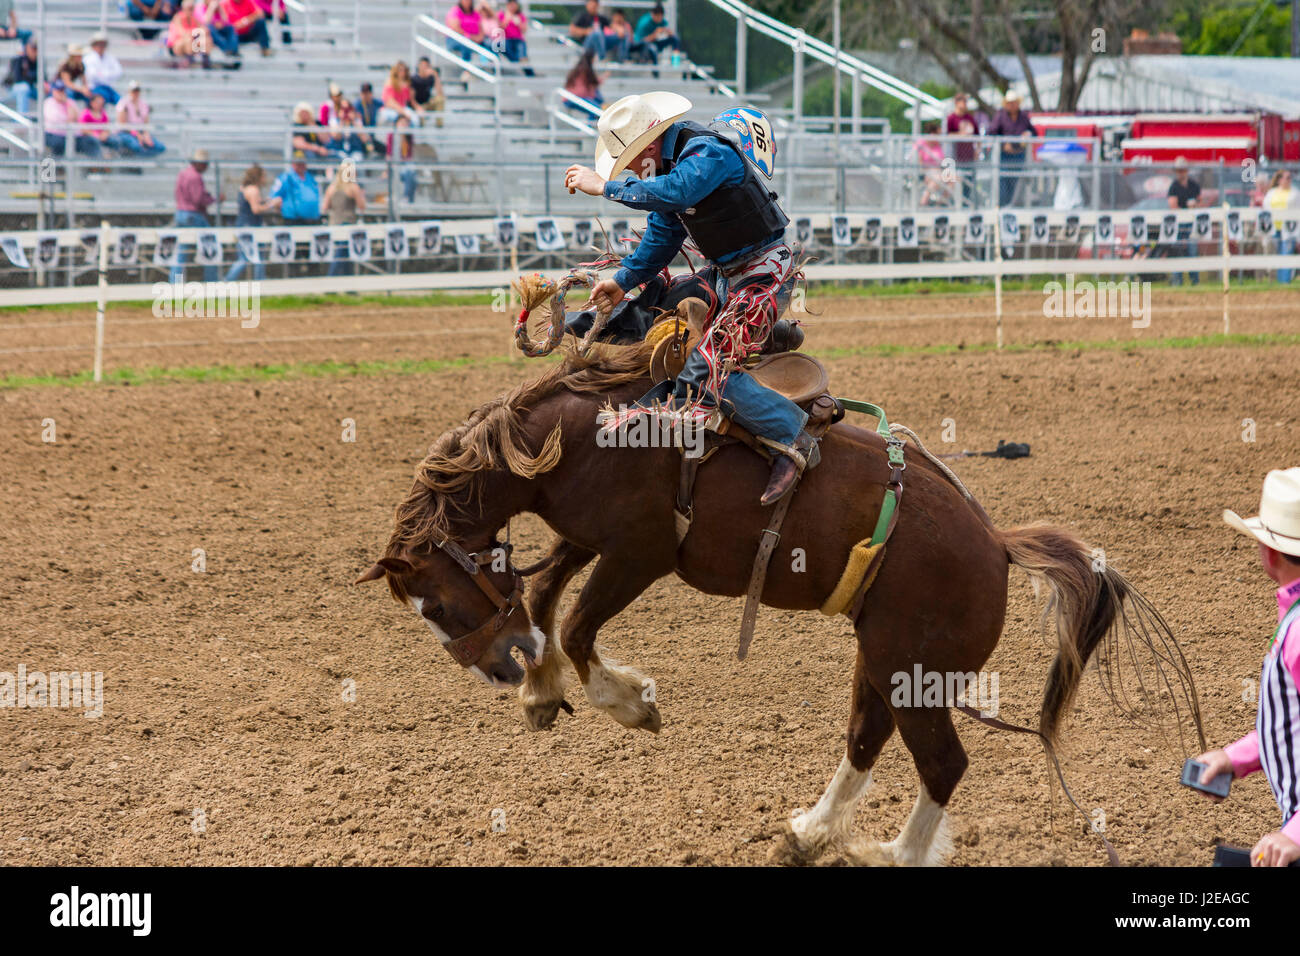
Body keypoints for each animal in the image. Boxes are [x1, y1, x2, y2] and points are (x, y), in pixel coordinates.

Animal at [356, 343, 1196, 868]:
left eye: (433, 606)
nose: (496, 673)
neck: (586, 433)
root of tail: (996, 542)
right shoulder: (588, 540)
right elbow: (541, 592)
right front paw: (540, 690)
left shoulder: (640, 554)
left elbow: (576, 623)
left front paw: (629, 702)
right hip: (883, 659)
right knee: (866, 740)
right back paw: (809, 833)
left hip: (913, 670)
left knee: (942, 762)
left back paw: (886, 852)